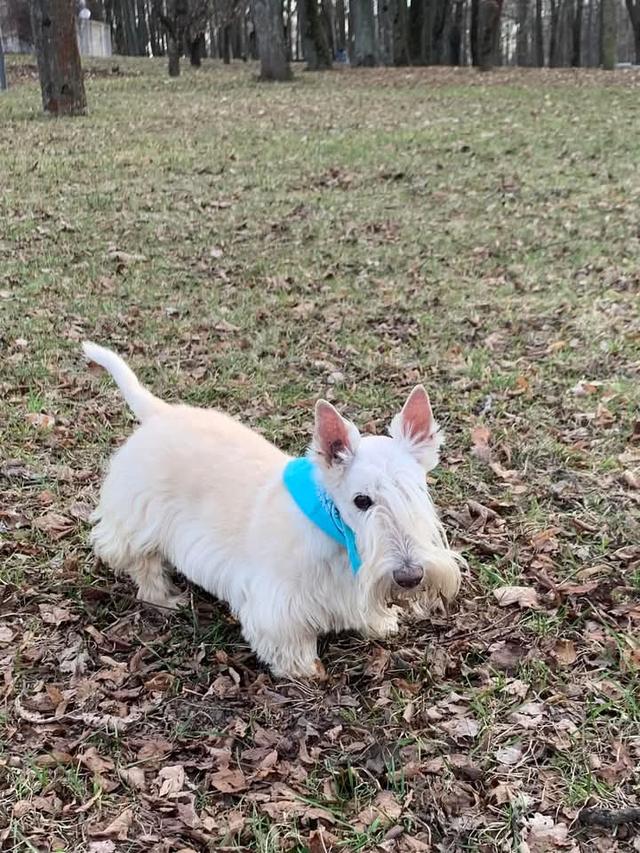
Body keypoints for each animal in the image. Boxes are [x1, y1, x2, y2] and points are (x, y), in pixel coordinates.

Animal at [85, 342, 462, 680]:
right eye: (361, 500)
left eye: (417, 490)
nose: (410, 576)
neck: (337, 534)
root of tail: (160, 413)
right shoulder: (279, 602)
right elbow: (289, 638)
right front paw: (303, 669)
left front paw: (380, 622)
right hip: (138, 519)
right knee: (141, 562)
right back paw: (163, 597)